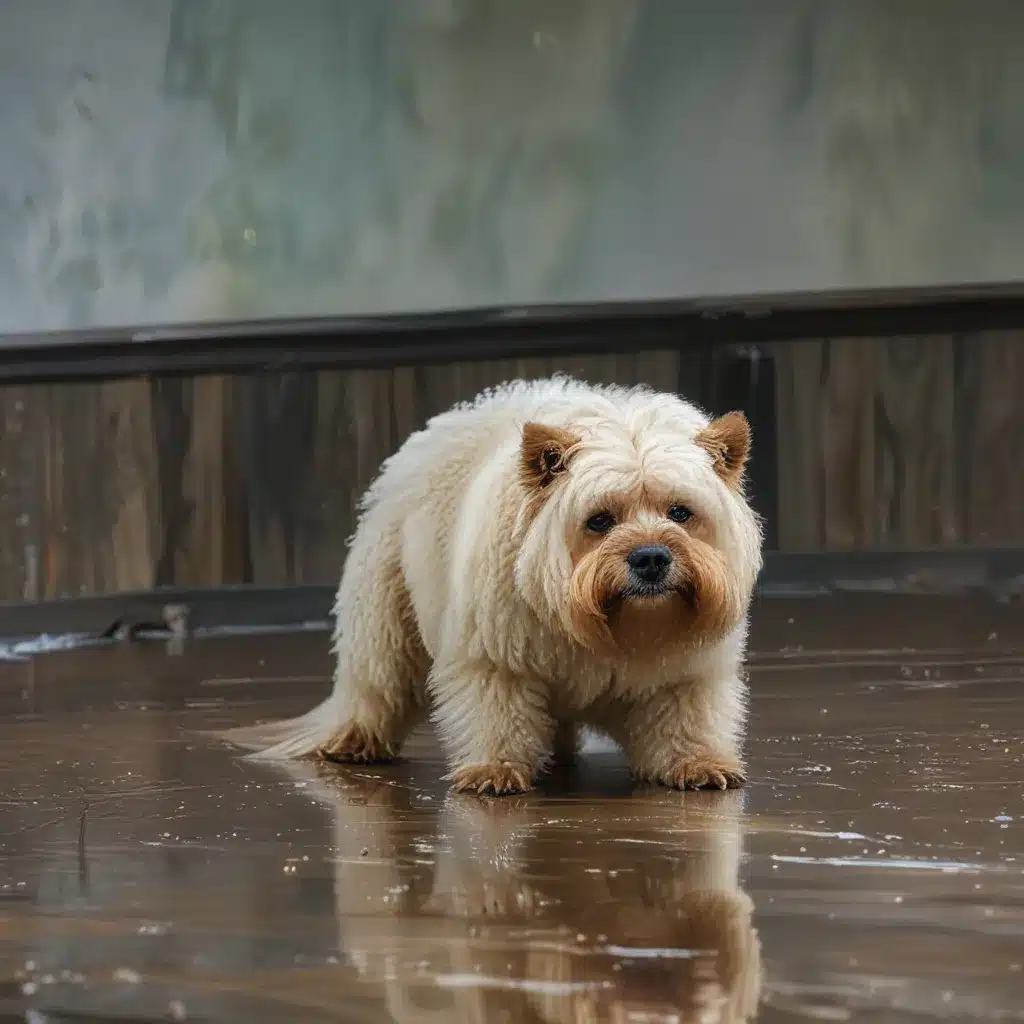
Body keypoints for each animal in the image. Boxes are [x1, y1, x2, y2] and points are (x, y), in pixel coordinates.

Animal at [230, 374, 761, 790]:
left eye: (680, 512)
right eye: (599, 519)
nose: (650, 558)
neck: (609, 622)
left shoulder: (686, 664)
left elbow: (684, 708)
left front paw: (698, 763)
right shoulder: (495, 644)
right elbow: (496, 701)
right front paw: (495, 769)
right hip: (387, 600)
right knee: (379, 676)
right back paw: (353, 737)